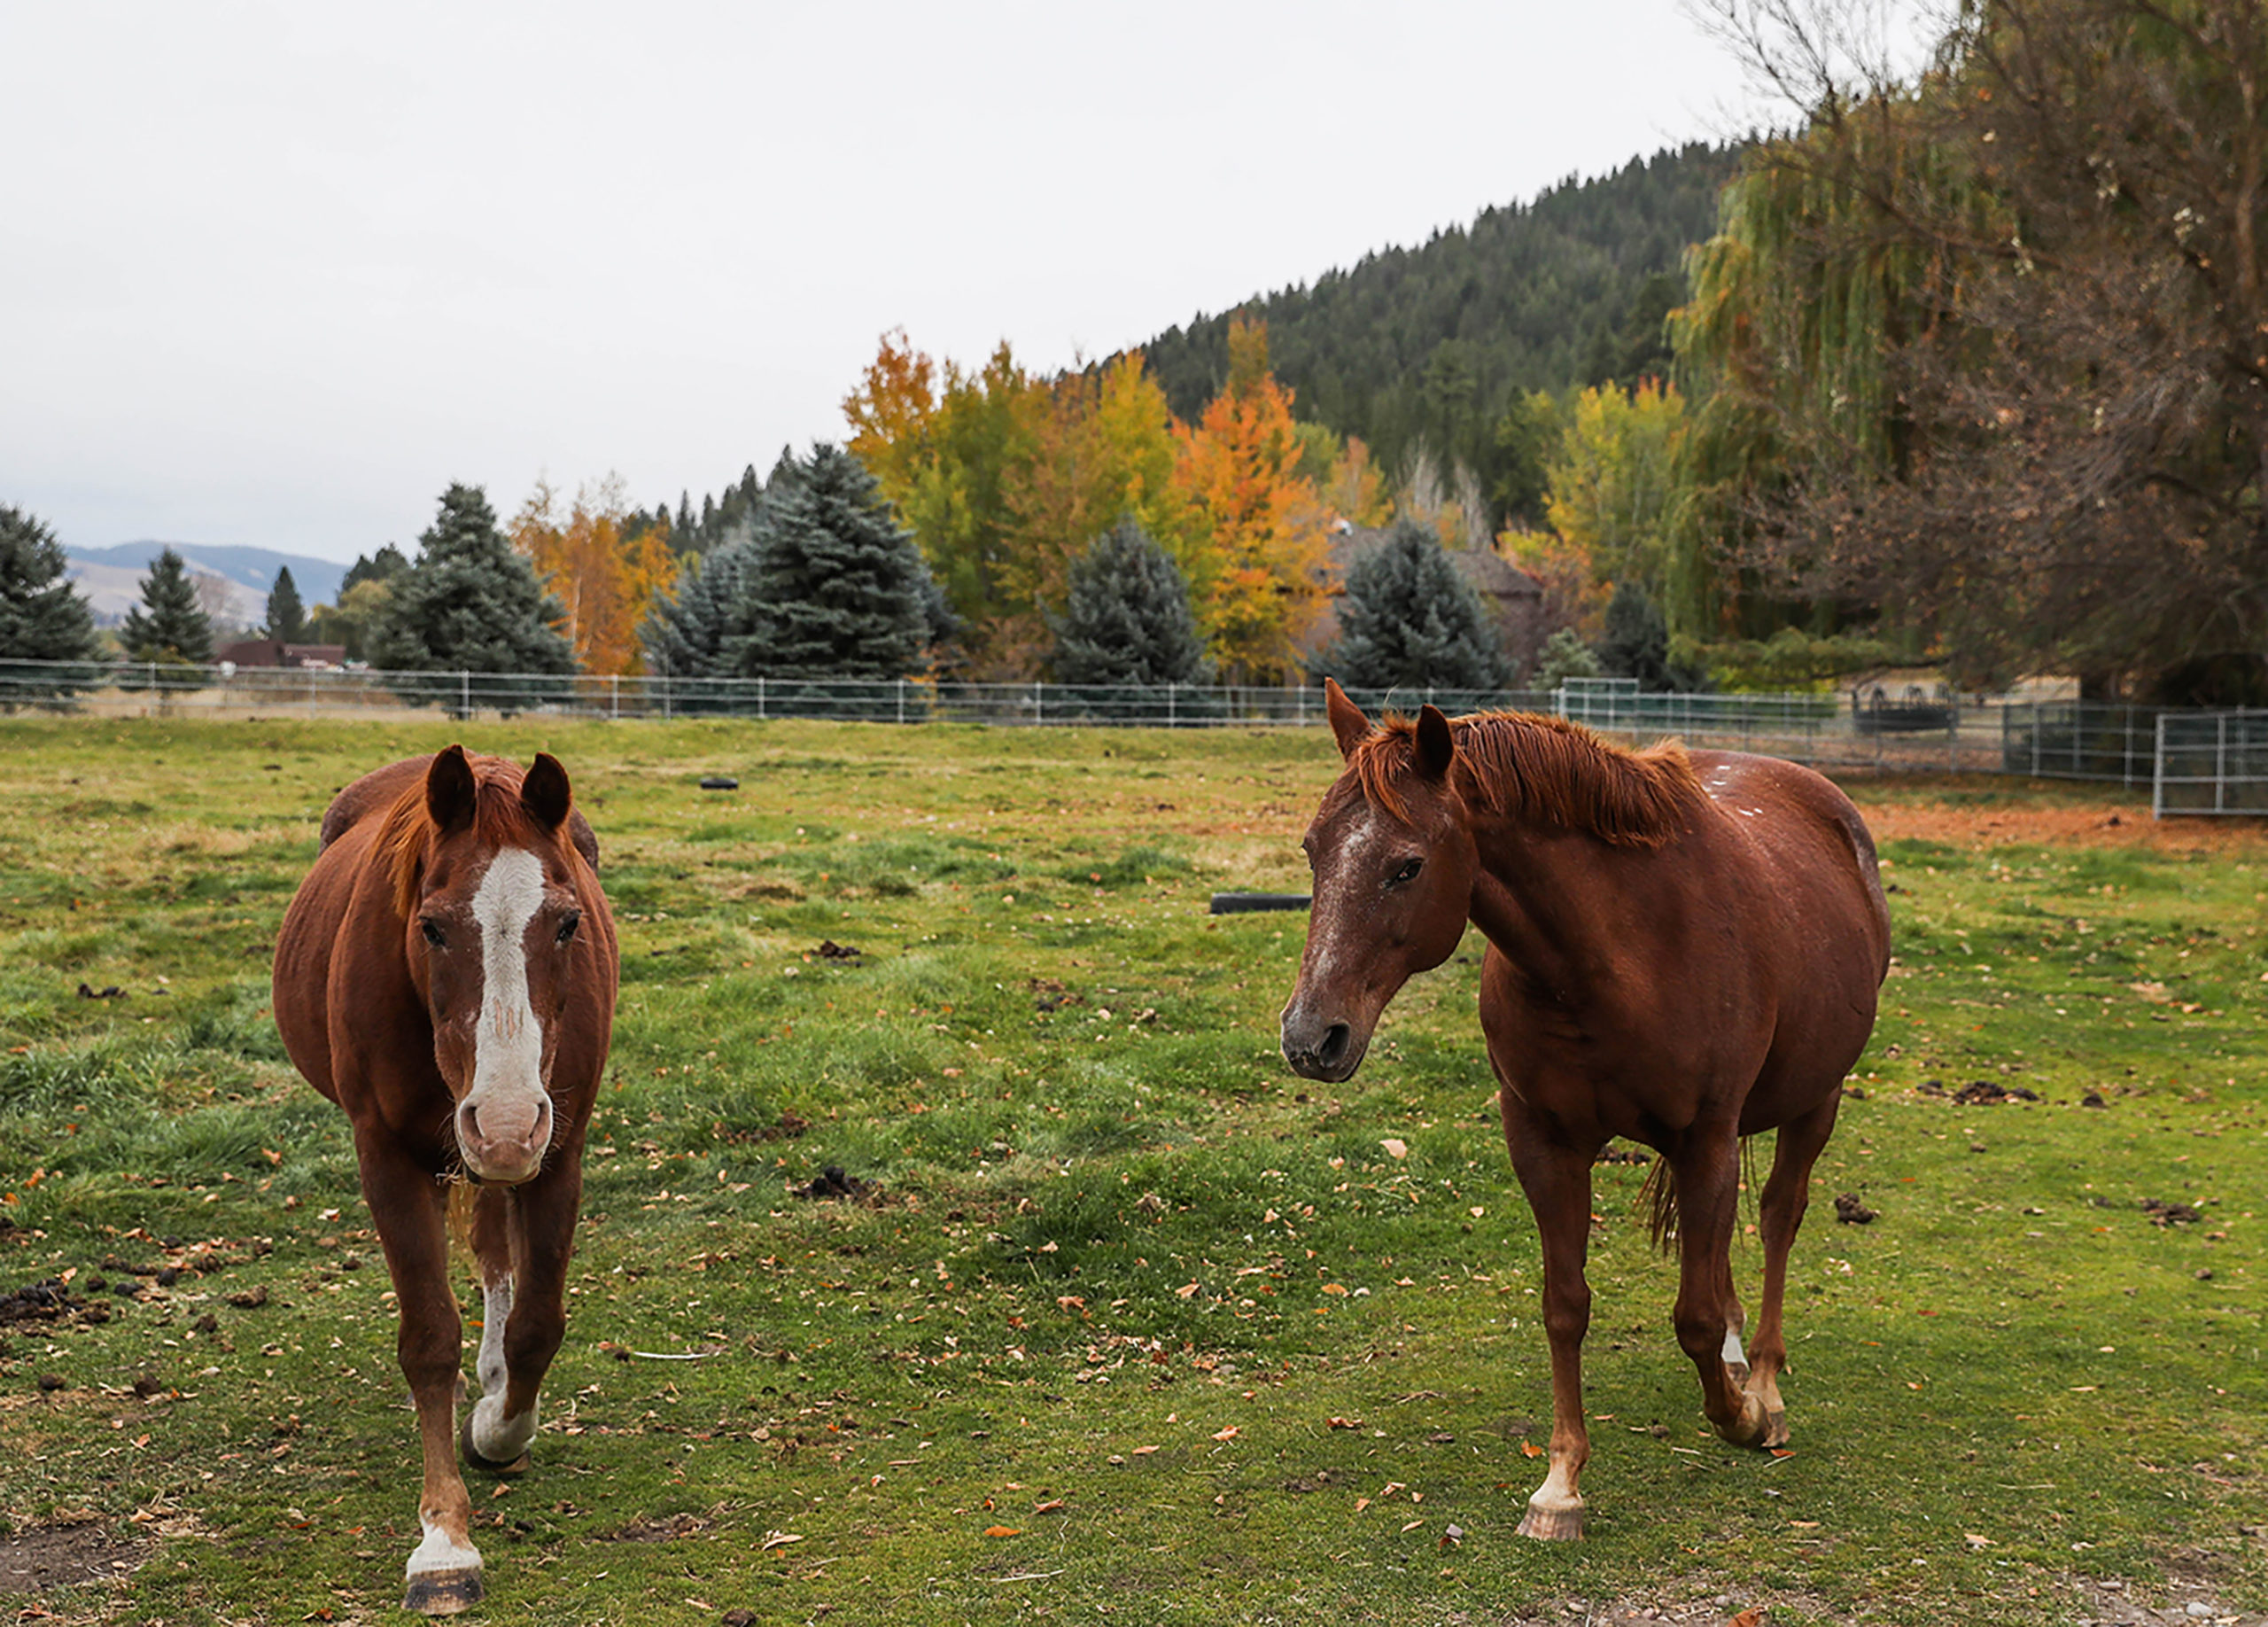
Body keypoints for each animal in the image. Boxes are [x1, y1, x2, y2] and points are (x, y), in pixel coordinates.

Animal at [269, 753, 617, 1615]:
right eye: (431, 926)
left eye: (567, 922)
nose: (505, 1117)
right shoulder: (389, 1159)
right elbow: (428, 1340)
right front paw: (444, 1545)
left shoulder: (556, 1150)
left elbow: (537, 1325)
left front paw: (498, 1426)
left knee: (496, 1252)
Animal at [1288, 681, 1886, 1543]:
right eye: (1313, 850)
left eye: (1407, 866)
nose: (1311, 1038)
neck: (1620, 954)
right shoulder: (1544, 1140)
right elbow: (1566, 1306)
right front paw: (1560, 1486)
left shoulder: (1707, 1134)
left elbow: (1693, 1314)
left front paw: (1737, 1416)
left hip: (1817, 1098)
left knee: (1779, 1217)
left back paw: (1765, 1388)